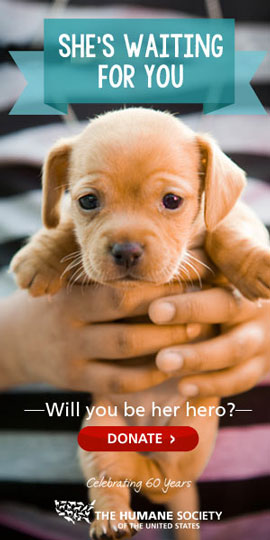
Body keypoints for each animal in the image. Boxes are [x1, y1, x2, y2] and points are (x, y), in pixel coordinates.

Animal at [10, 109, 270, 540]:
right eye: (88, 201)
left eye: (171, 201)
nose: (126, 250)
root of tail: (144, 434)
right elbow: (66, 228)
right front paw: (41, 256)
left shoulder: (229, 221)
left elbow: (225, 229)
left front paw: (256, 264)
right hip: (99, 425)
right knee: (117, 480)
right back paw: (113, 508)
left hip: (193, 433)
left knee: (163, 480)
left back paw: (128, 464)